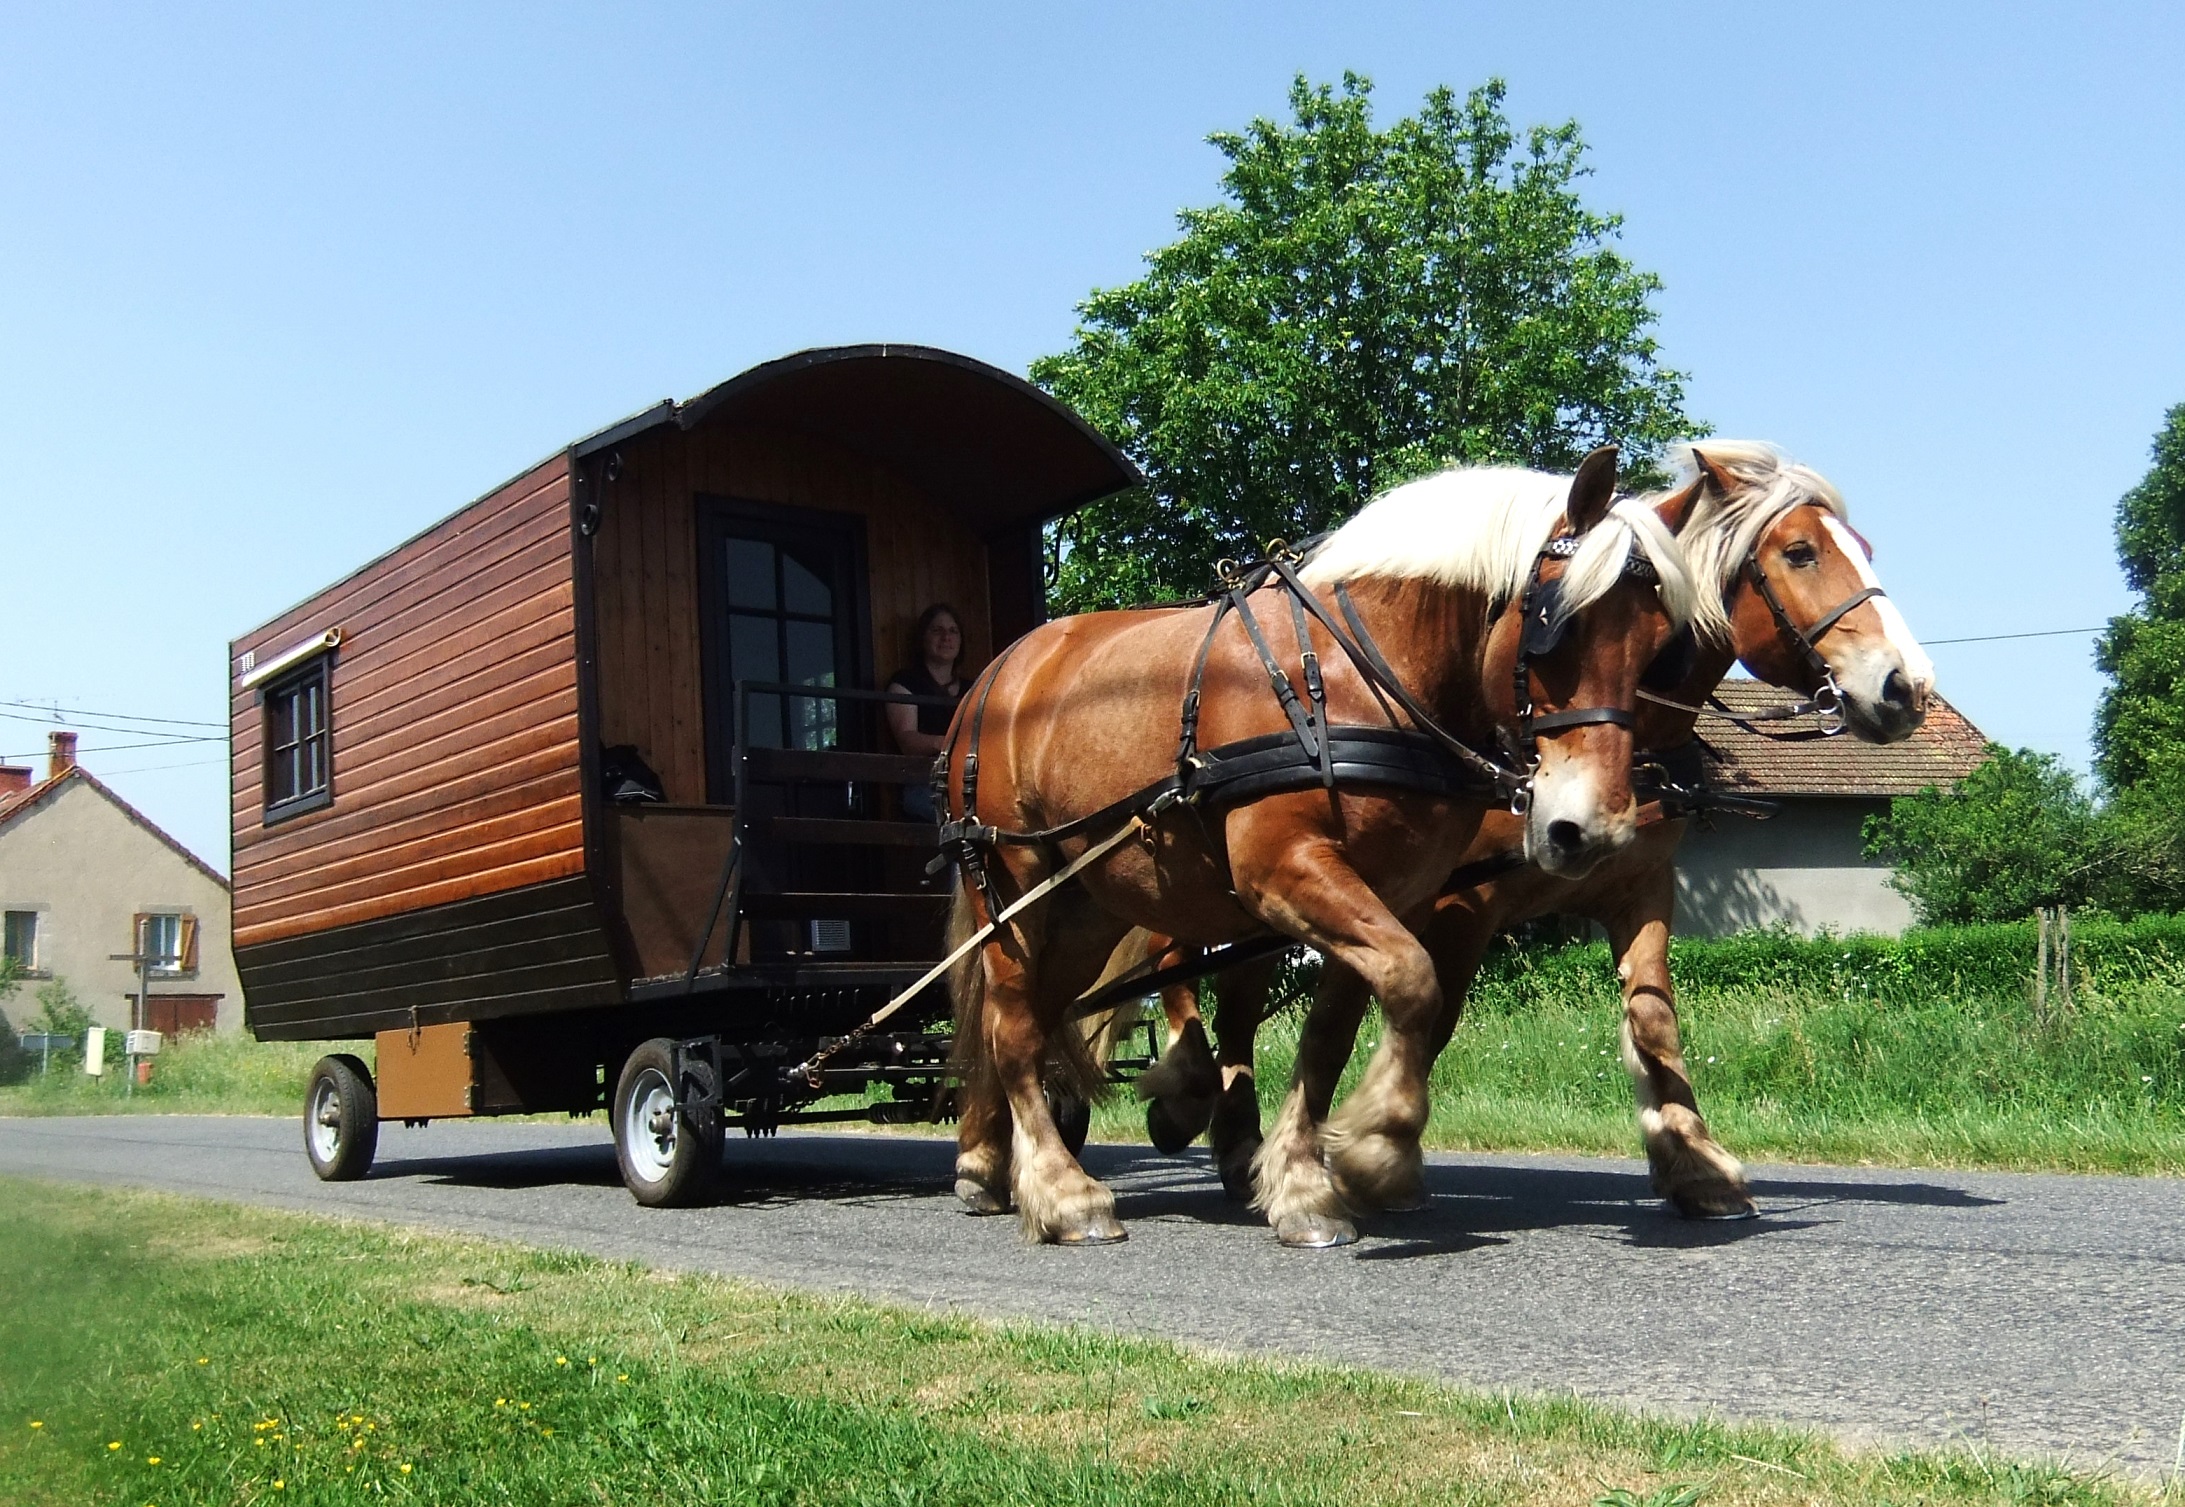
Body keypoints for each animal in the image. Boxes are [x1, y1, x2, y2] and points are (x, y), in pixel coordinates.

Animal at [941, 446, 1702, 1244]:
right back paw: (1062, 1192)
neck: (1354, 684)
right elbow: (1413, 979)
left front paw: (1305, 1182)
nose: (1593, 829)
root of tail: (999, 670)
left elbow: (1335, 1032)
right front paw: (1379, 1145)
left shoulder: (1387, 891)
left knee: (1025, 1017)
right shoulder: (1285, 874)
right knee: (1014, 1024)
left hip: (1086, 910)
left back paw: (988, 1164)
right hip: (1011, 884)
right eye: (1559, 625)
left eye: (1661, 651)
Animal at [1124, 441, 1936, 1244]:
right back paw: (1196, 1107)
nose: (1909, 687)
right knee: (1189, 975)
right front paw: (1385, 1157)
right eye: (1800, 552)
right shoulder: (1459, 906)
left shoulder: (1638, 886)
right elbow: (1434, 1018)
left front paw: (1695, 1164)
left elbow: (1652, 1018)